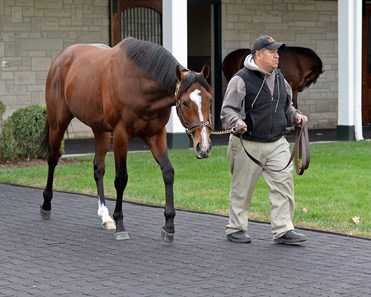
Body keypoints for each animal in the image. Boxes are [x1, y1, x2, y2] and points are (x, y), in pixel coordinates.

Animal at [39, 37, 214, 240]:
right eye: (185, 103)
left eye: (210, 100)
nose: (204, 146)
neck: (140, 84)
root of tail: (62, 57)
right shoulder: (121, 135)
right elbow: (121, 178)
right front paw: (121, 224)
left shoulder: (156, 135)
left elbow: (168, 172)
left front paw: (169, 225)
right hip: (58, 122)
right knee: (53, 158)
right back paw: (46, 205)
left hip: (100, 129)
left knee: (98, 168)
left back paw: (105, 216)